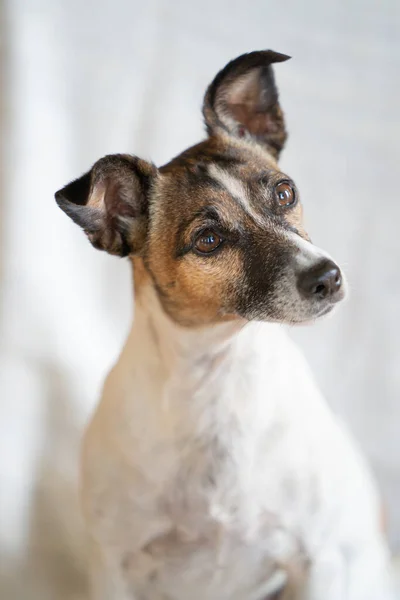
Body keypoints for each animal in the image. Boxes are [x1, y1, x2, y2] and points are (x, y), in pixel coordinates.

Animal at [55, 50, 394, 600]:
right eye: (209, 240)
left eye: (285, 192)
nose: (328, 276)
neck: (217, 374)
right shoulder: (114, 571)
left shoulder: (317, 560)